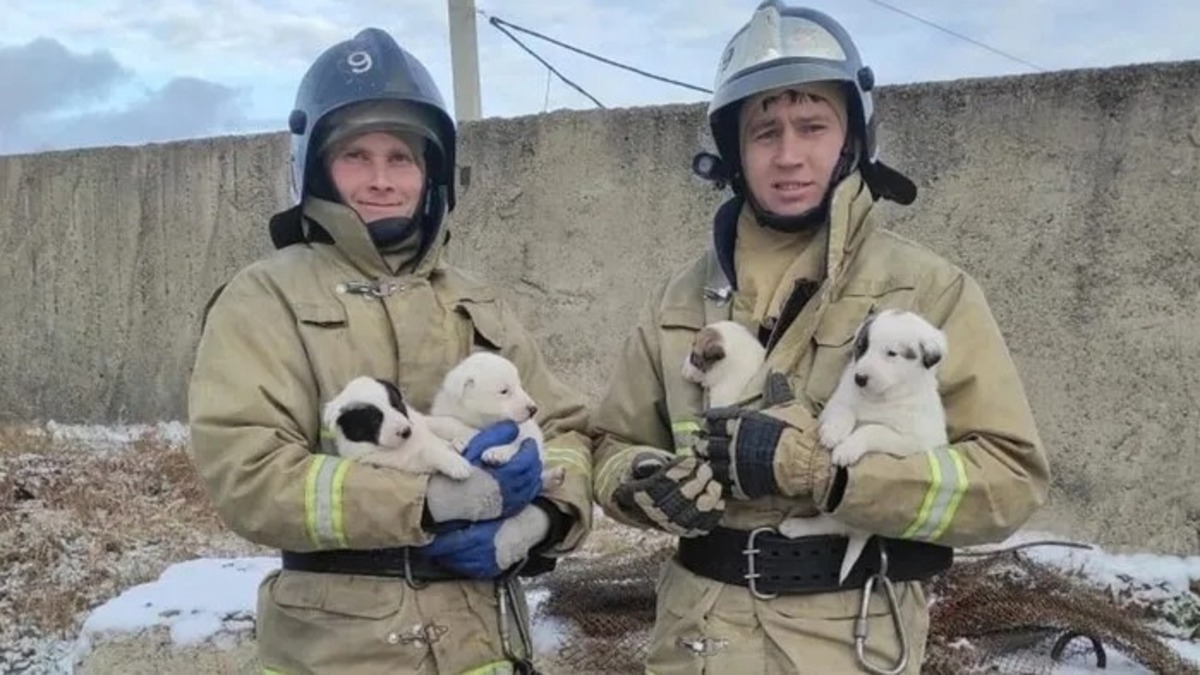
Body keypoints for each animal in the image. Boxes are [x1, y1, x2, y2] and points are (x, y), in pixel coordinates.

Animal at [324, 372, 472, 478]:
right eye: (375, 420)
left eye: (396, 405)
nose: (406, 431)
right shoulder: (401, 461)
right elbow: (427, 452)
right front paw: (454, 463)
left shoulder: (418, 421)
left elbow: (443, 423)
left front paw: (467, 433)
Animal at [427, 353, 566, 487]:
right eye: (504, 391)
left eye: (520, 386)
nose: (533, 409)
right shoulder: (446, 409)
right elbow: (445, 422)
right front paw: (463, 439)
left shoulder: (524, 428)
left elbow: (520, 439)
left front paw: (497, 452)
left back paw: (555, 476)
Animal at [782, 307, 950, 581]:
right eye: (862, 347)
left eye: (891, 353)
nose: (860, 378)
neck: (880, 398)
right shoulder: (840, 399)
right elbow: (845, 411)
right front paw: (834, 433)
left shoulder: (909, 440)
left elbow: (872, 429)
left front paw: (846, 449)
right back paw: (795, 526)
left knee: (835, 524)